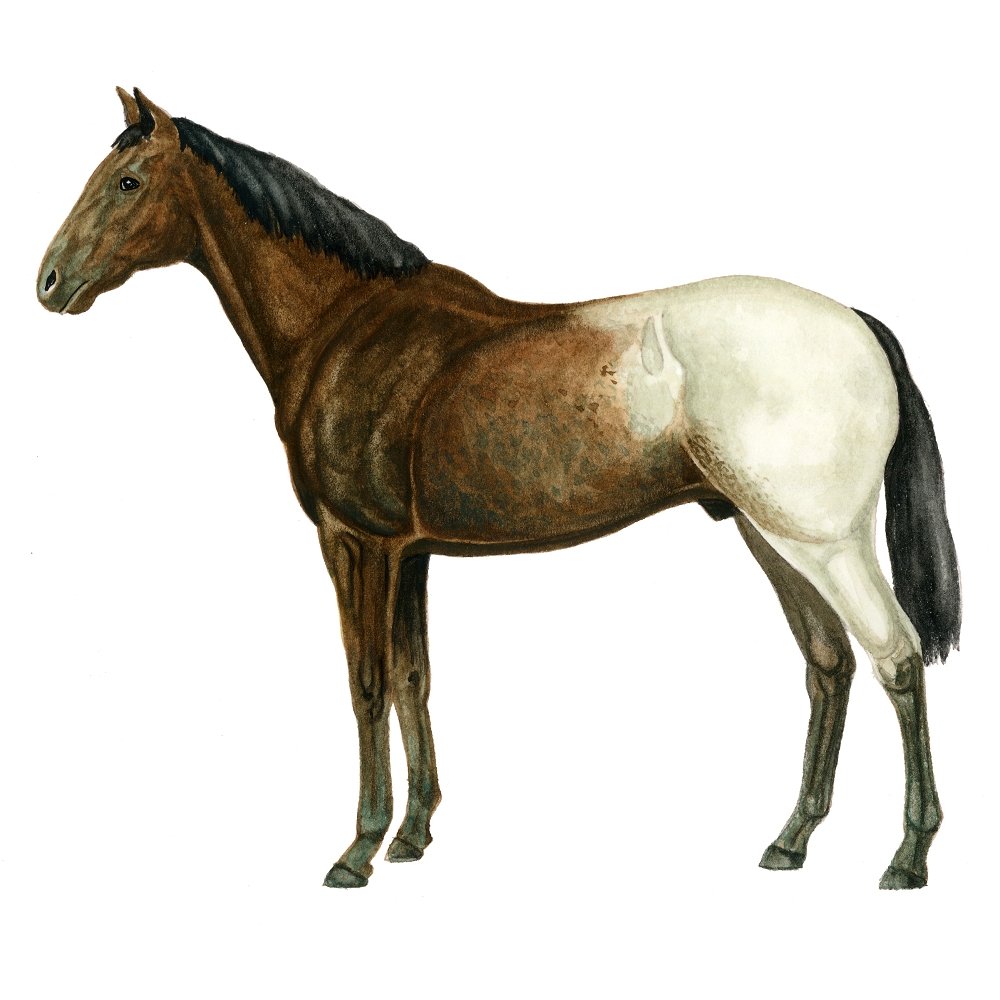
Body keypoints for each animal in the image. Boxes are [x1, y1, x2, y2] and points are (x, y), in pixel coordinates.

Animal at [37, 88, 961, 890]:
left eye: (128, 180)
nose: (49, 282)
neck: (345, 324)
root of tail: (856, 322)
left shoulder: (356, 543)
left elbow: (366, 682)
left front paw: (358, 850)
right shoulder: (410, 554)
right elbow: (413, 676)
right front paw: (412, 834)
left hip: (824, 541)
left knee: (896, 656)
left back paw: (907, 856)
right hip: (769, 536)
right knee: (828, 665)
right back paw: (790, 841)